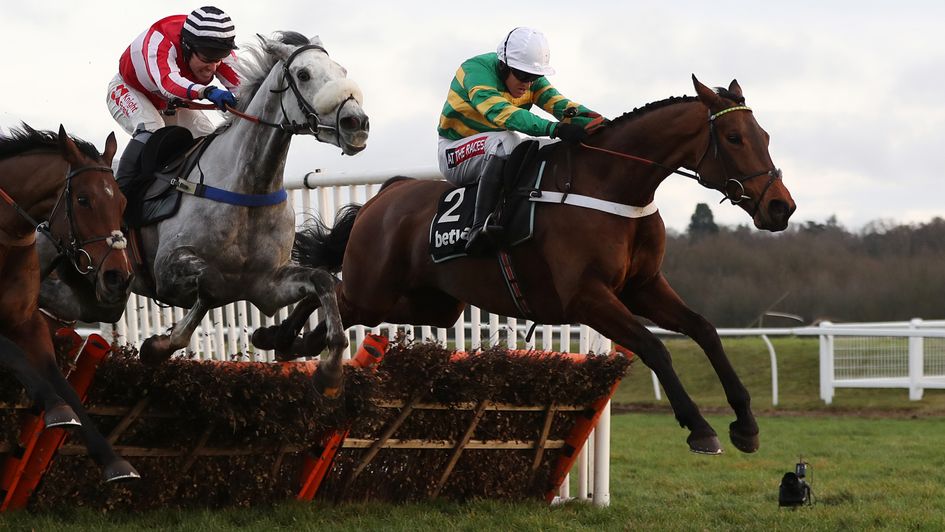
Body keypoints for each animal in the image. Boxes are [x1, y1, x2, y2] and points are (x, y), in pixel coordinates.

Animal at [0, 124, 139, 482]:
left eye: (122, 201)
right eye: (83, 199)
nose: (118, 277)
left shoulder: (29, 322)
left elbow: (65, 385)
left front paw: (114, 461)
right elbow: (17, 357)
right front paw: (56, 409)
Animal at [38, 30, 368, 394]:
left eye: (341, 70)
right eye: (304, 74)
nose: (357, 123)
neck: (248, 189)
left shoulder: (267, 284)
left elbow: (322, 280)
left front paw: (322, 365)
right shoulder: (168, 271)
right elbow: (211, 285)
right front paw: (157, 346)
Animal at [254, 77, 792, 456]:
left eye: (765, 135)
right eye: (733, 137)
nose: (780, 207)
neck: (612, 185)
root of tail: (385, 194)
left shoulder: (643, 286)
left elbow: (704, 329)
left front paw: (745, 423)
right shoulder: (586, 297)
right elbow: (653, 347)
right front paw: (700, 427)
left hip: (432, 305)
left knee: (339, 302)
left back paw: (293, 341)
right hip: (376, 288)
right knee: (331, 289)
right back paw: (284, 339)